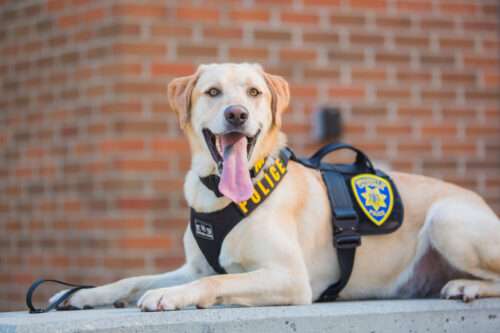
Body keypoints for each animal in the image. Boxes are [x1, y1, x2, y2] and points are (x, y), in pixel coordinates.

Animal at [51, 63, 500, 312]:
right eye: (212, 92)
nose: (237, 114)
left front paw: (173, 297)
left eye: (254, 91)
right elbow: (134, 279)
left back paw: (465, 285)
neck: (221, 195)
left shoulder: (289, 278)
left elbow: (218, 282)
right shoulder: (192, 266)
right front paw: (81, 295)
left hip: (447, 219)